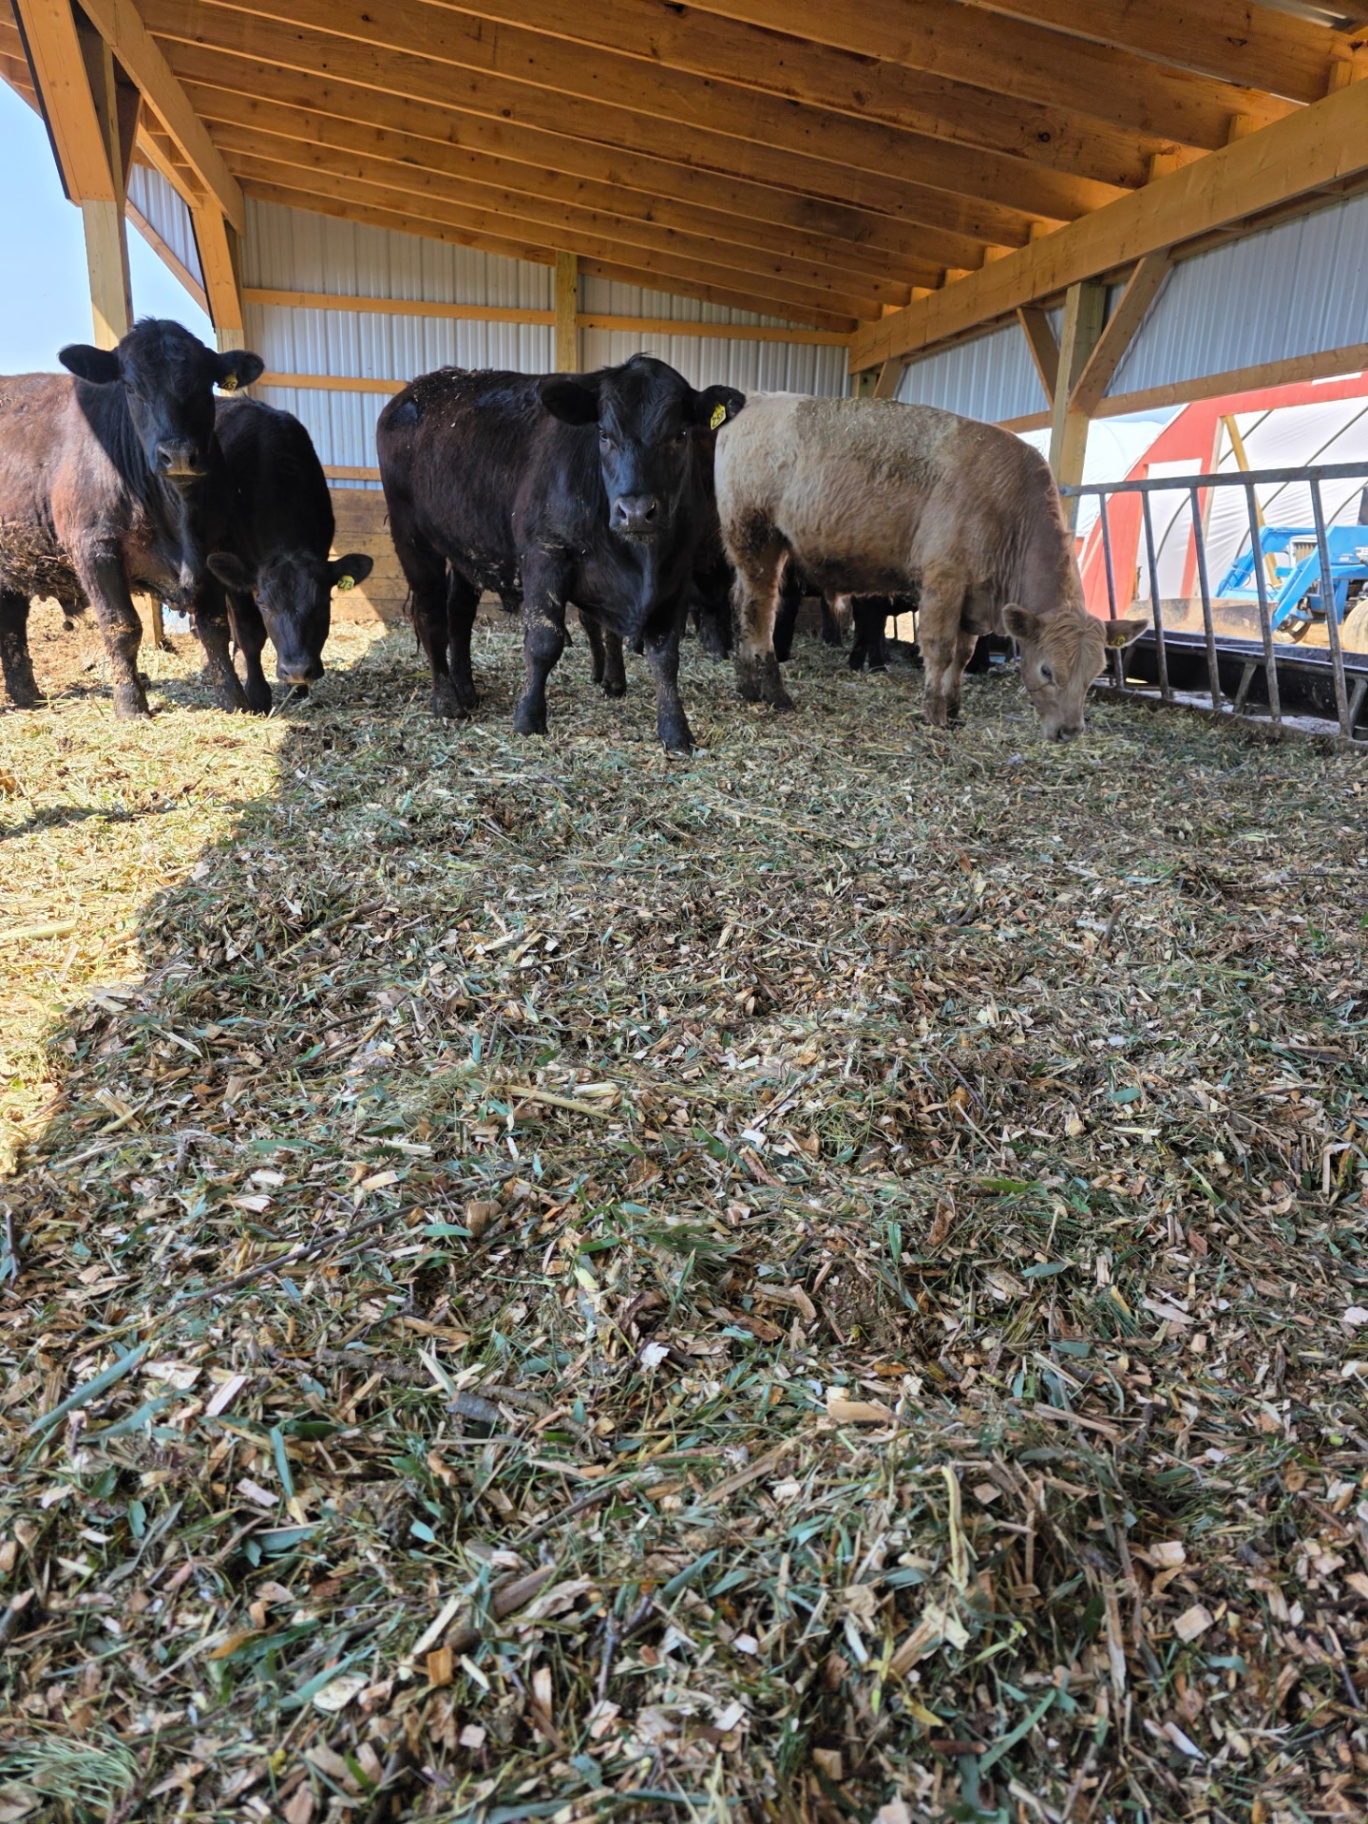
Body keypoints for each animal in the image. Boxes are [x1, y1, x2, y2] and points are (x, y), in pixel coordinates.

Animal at [0, 319, 263, 716]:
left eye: (205, 384)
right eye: (130, 387)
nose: (178, 453)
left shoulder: (211, 546)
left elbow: (215, 627)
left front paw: (234, 701)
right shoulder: (95, 548)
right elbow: (121, 627)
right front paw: (130, 706)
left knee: (11, 625)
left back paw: (27, 698)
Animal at [194, 395, 373, 711]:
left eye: (323, 603)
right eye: (264, 604)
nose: (297, 670)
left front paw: (298, 689)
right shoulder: (239, 576)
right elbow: (250, 632)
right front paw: (257, 694)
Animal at [376, 356, 744, 752]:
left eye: (680, 435)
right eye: (604, 434)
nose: (635, 511)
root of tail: (424, 386)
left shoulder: (676, 570)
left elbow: (665, 653)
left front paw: (675, 729)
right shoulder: (545, 553)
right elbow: (544, 641)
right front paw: (528, 718)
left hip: (465, 548)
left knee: (459, 614)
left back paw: (466, 689)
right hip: (412, 537)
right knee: (430, 613)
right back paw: (446, 700)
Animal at [716, 394, 1145, 740]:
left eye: (1094, 675)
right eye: (1046, 671)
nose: (1069, 732)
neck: (1007, 510)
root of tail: (755, 401)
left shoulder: (974, 599)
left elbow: (963, 655)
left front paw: (954, 712)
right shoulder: (943, 582)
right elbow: (939, 649)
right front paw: (934, 714)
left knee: (742, 605)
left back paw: (747, 686)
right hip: (757, 538)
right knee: (758, 613)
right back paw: (774, 693)